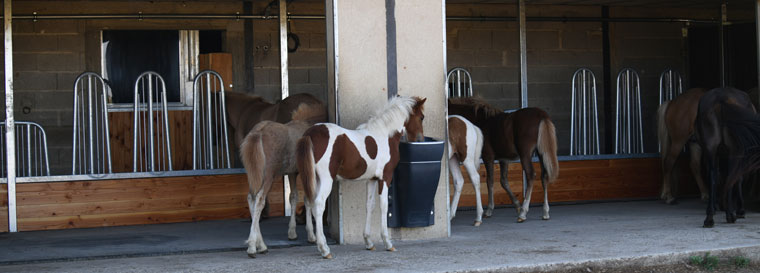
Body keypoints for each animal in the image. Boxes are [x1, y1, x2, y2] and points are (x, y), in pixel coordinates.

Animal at [242, 102, 326, 258]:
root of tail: (258, 132)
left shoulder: (292, 173)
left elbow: (293, 197)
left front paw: (292, 232)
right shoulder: (306, 171)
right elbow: (308, 198)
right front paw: (312, 235)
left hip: (254, 175)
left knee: (251, 198)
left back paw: (260, 245)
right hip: (268, 175)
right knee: (259, 199)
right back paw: (253, 247)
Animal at [296, 95, 428, 258]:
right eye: (421, 117)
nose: (420, 140)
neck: (385, 134)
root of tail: (310, 133)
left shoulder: (371, 179)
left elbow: (369, 205)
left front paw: (368, 242)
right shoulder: (385, 177)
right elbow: (384, 206)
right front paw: (388, 243)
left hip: (312, 178)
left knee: (308, 201)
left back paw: (314, 239)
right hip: (326, 179)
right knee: (318, 204)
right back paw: (324, 249)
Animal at [696, 87, 760, 227]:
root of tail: (721, 99)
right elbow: (738, 178)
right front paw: (740, 210)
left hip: (711, 149)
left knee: (713, 176)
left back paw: (710, 217)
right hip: (733, 150)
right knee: (731, 176)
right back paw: (730, 215)